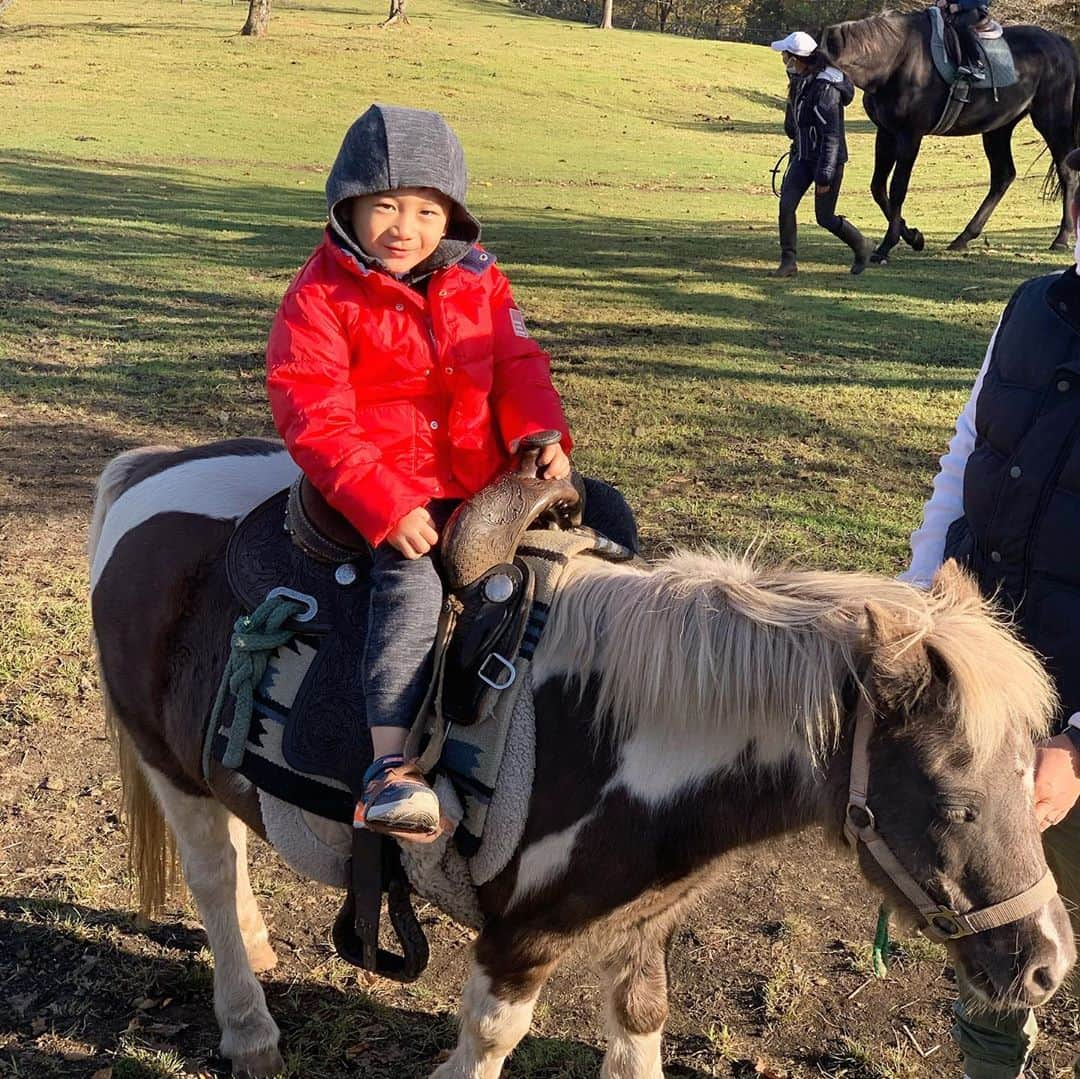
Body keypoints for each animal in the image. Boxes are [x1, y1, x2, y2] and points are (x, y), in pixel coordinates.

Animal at [88, 440, 1075, 1079]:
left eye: (1031, 783)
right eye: (953, 801)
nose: (1045, 965)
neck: (626, 737)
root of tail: (145, 470)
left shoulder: (641, 926)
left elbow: (640, 1031)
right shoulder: (516, 941)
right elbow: (489, 1041)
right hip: (169, 766)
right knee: (212, 875)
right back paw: (249, 1028)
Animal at [816, 11, 1080, 263]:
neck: (897, 60)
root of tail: (1060, 42)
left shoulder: (910, 135)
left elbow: (898, 188)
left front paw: (887, 246)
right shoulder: (887, 133)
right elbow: (878, 188)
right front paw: (913, 236)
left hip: (1052, 122)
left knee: (1067, 172)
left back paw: (1061, 237)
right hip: (998, 127)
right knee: (1003, 176)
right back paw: (963, 237)